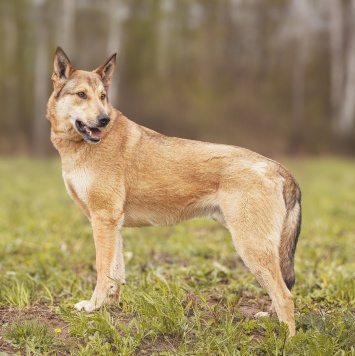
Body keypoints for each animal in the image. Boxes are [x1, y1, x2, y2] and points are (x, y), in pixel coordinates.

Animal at [46, 46, 304, 336]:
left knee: (285, 296)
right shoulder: (112, 223)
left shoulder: (103, 218)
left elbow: (102, 269)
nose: (104, 119)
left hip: (251, 247)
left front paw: (93, 306)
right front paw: (111, 306)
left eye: (102, 97)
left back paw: (287, 339)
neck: (78, 146)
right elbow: (116, 272)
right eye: (81, 95)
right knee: (280, 293)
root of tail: (279, 168)